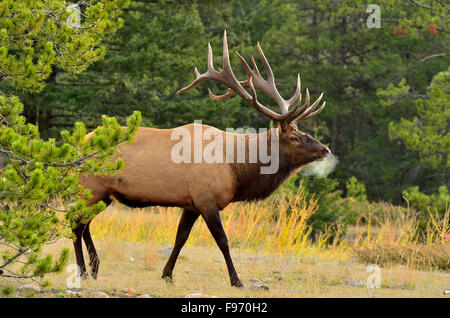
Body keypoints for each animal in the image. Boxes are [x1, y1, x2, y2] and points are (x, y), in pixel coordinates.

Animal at [75, 31, 328, 286]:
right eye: (295, 137)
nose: (325, 149)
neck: (236, 169)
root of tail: (78, 143)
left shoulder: (192, 203)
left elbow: (180, 237)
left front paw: (167, 275)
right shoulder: (207, 199)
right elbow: (223, 241)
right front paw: (237, 281)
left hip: (105, 194)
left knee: (85, 224)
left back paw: (95, 268)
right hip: (92, 186)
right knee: (76, 224)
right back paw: (84, 271)